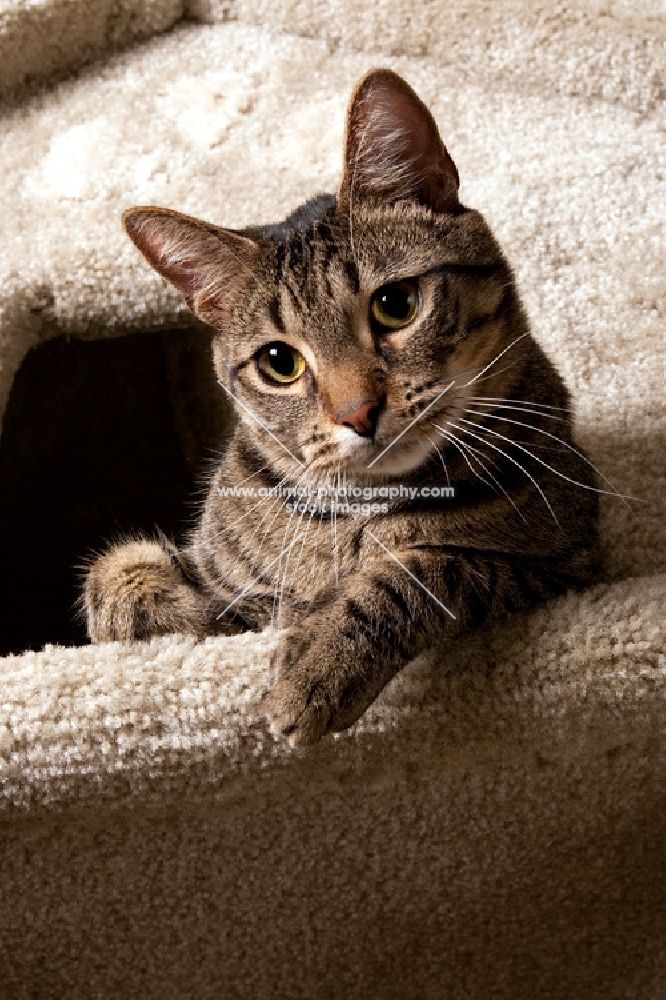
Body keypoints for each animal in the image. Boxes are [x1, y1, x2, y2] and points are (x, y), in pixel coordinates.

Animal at [85, 68, 600, 744]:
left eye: (397, 304)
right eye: (280, 362)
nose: (358, 413)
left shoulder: (563, 564)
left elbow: (424, 569)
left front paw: (317, 653)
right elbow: (117, 580)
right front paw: (202, 614)